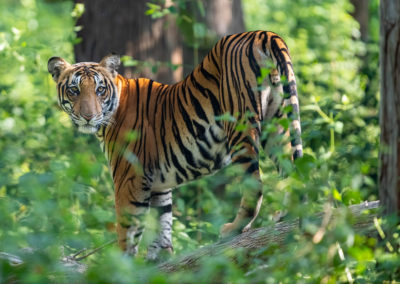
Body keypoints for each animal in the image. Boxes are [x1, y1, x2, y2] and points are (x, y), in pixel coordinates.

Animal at [47, 30, 302, 260]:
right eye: (74, 90)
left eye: (100, 90)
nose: (88, 117)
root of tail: (262, 33)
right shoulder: (158, 184)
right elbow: (163, 222)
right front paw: (160, 259)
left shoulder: (129, 179)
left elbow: (128, 231)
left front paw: (122, 267)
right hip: (277, 125)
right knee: (292, 171)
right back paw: (288, 213)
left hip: (241, 126)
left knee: (254, 186)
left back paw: (233, 228)